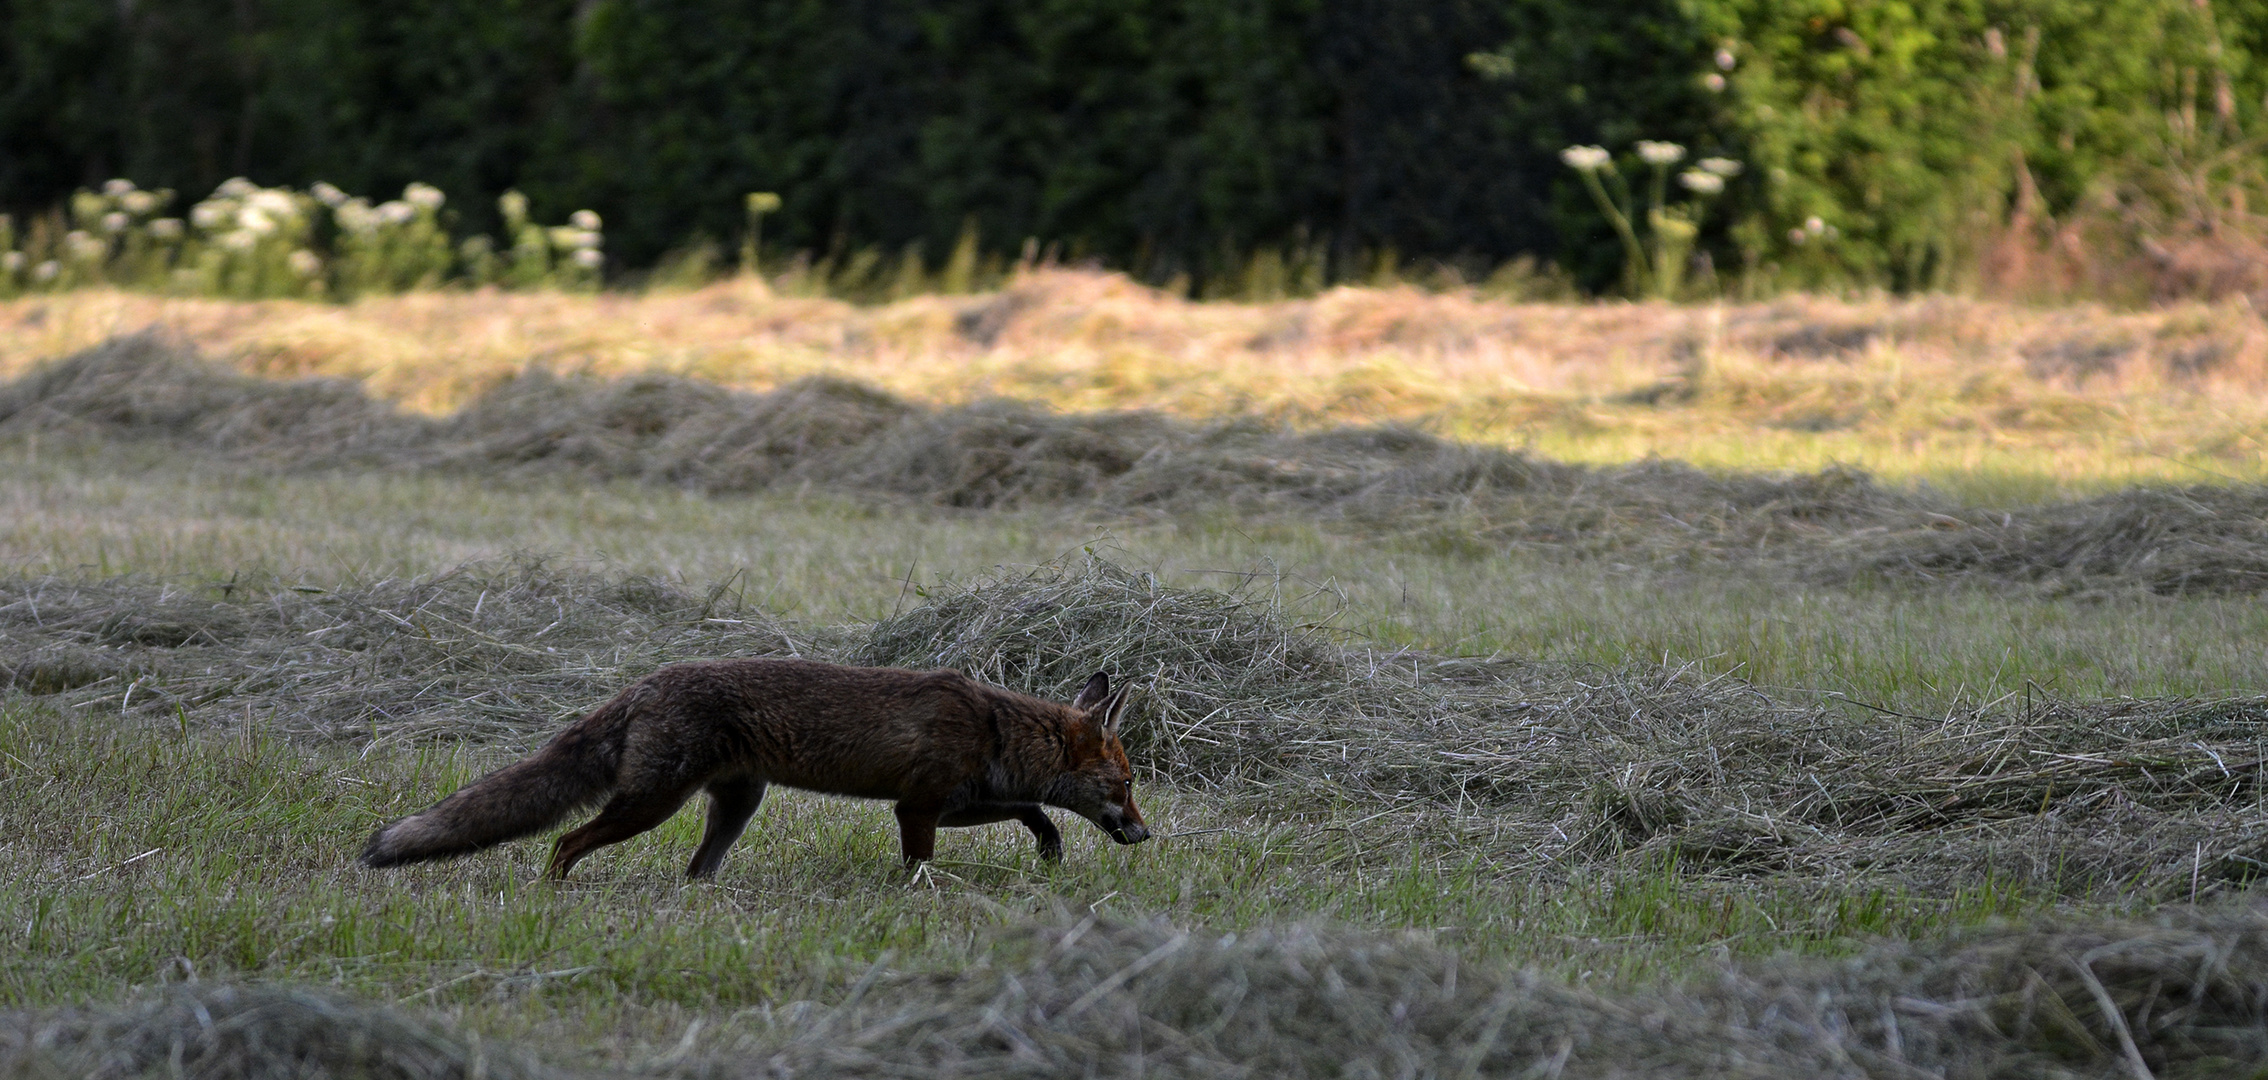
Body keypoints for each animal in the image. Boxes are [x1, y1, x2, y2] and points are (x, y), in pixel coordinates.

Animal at [365, 657, 1161, 875]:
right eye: (1126, 786)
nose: (1147, 834)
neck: (995, 731)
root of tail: (648, 681)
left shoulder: (959, 801)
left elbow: (1034, 809)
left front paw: (1051, 848)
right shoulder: (918, 808)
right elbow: (920, 867)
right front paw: (919, 899)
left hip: (735, 807)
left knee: (695, 871)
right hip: (649, 804)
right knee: (565, 841)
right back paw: (551, 894)